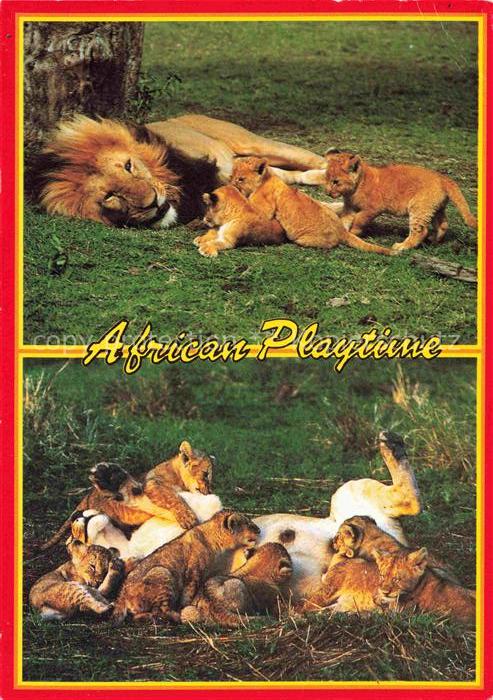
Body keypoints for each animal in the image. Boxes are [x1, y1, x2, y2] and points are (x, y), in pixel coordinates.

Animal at [34, 114, 327, 229]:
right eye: (110, 196)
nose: (153, 202)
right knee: (296, 175)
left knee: (314, 159)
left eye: (128, 166)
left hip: (254, 143)